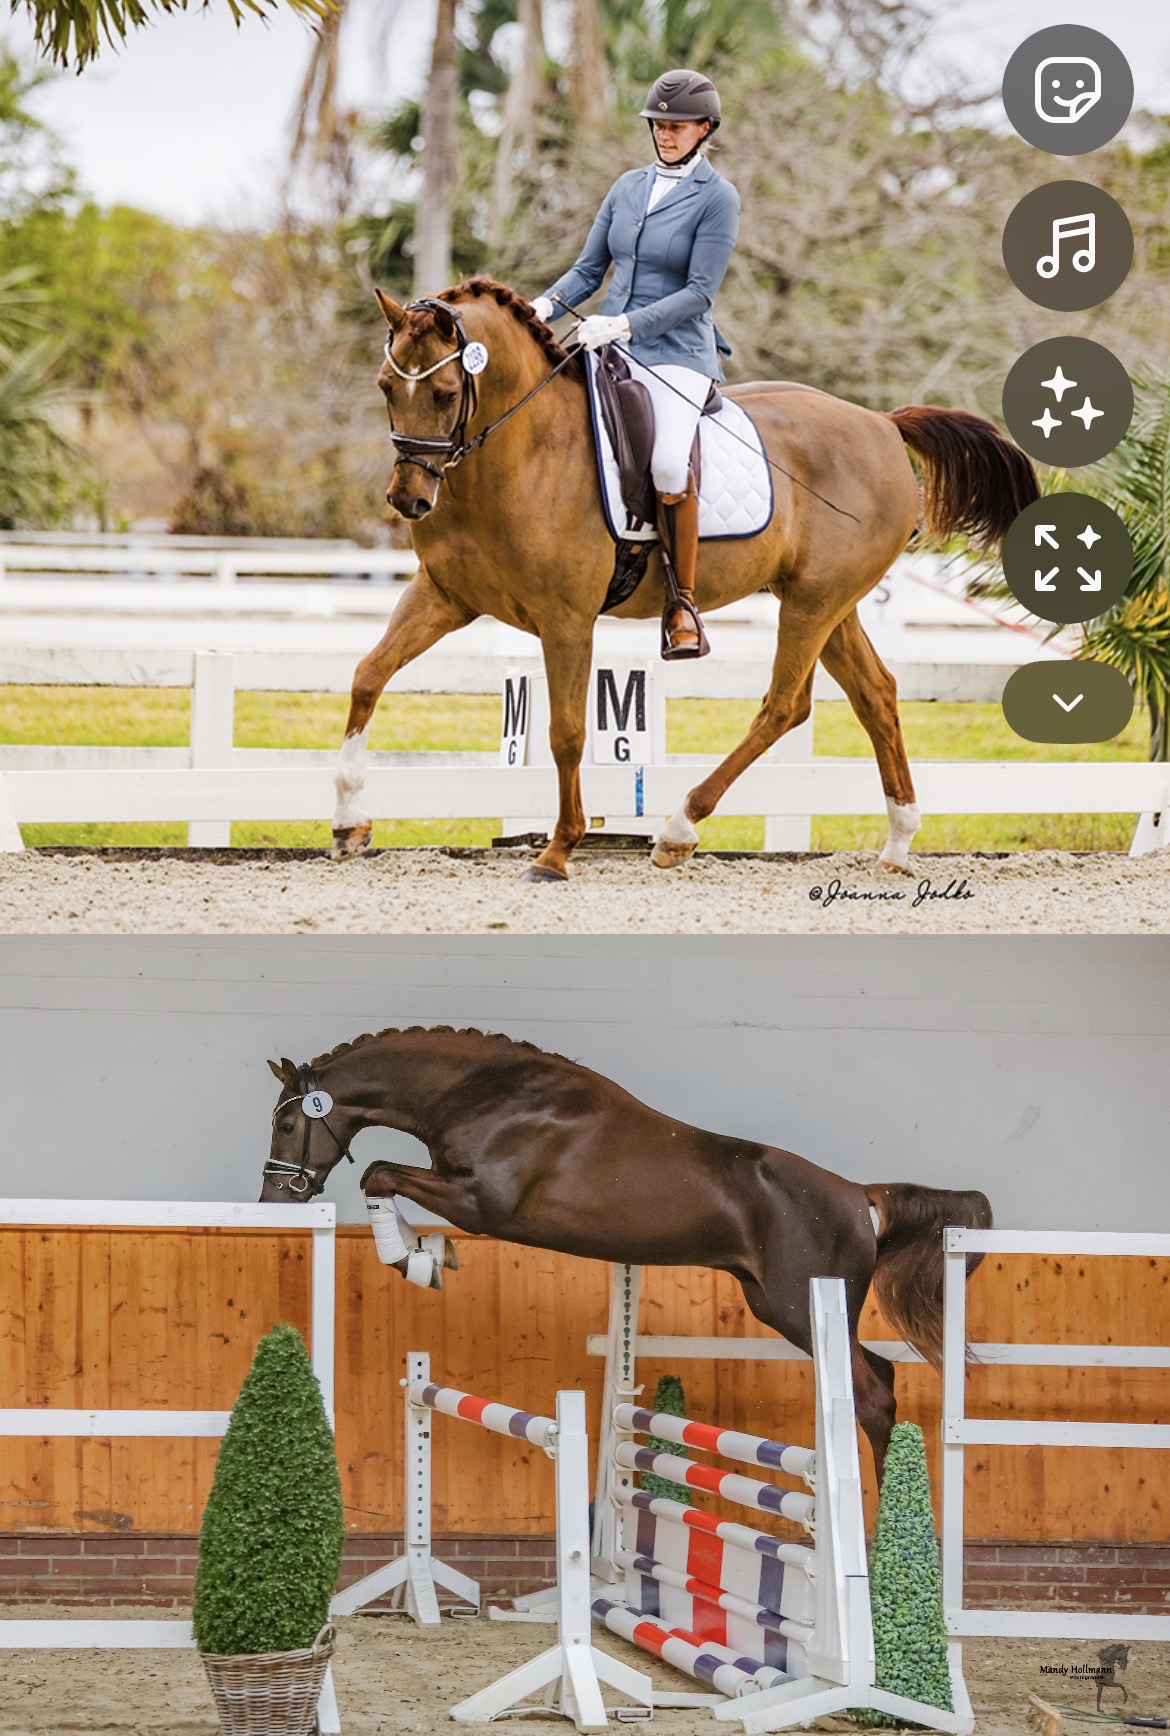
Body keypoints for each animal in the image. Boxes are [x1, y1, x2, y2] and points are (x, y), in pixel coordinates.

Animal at [260, 1024, 992, 1478]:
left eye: (289, 1121)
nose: (275, 1198)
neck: (492, 1095)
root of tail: (859, 1196)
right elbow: (384, 1176)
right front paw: (429, 1254)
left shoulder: (482, 1203)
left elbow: (377, 1172)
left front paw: (414, 1257)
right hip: (780, 1306)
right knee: (880, 1378)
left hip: (799, 1306)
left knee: (871, 1396)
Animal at [331, 275, 1037, 882]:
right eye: (386, 387)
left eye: (447, 395)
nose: (408, 500)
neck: (520, 454)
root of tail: (884, 425)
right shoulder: (444, 596)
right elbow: (368, 674)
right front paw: (347, 824)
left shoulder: (566, 620)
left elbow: (566, 733)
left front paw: (557, 852)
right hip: (829, 603)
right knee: (876, 695)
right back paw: (896, 842)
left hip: (814, 603)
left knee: (785, 705)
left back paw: (677, 828)